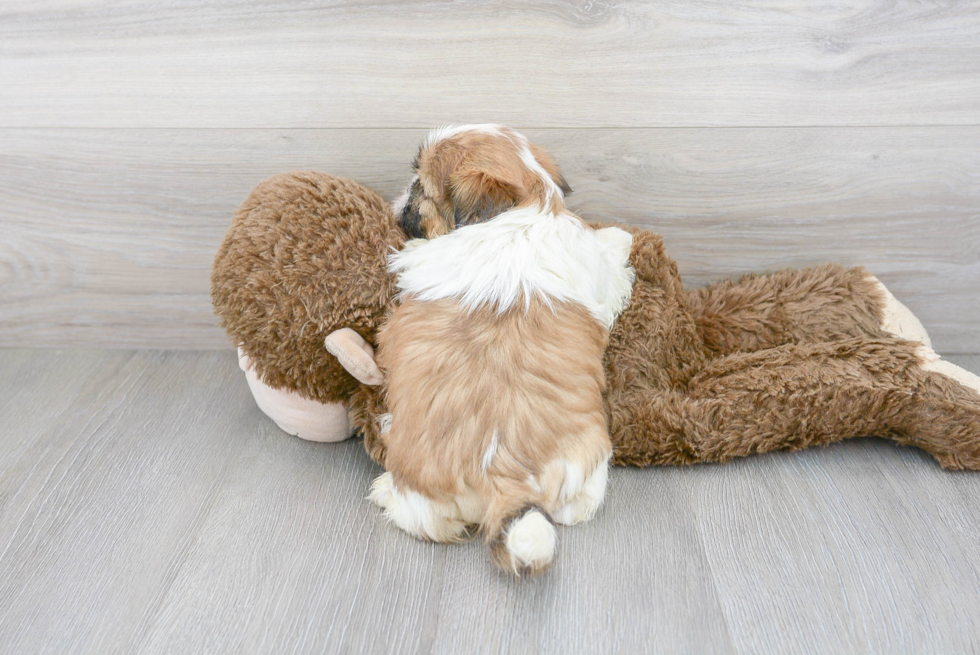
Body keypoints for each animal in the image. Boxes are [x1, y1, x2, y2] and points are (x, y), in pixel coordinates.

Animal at [370, 127, 636, 576]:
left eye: (420, 188)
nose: (403, 190)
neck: (524, 214)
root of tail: (502, 468)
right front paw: (619, 237)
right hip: (589, 461)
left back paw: (385, 489)